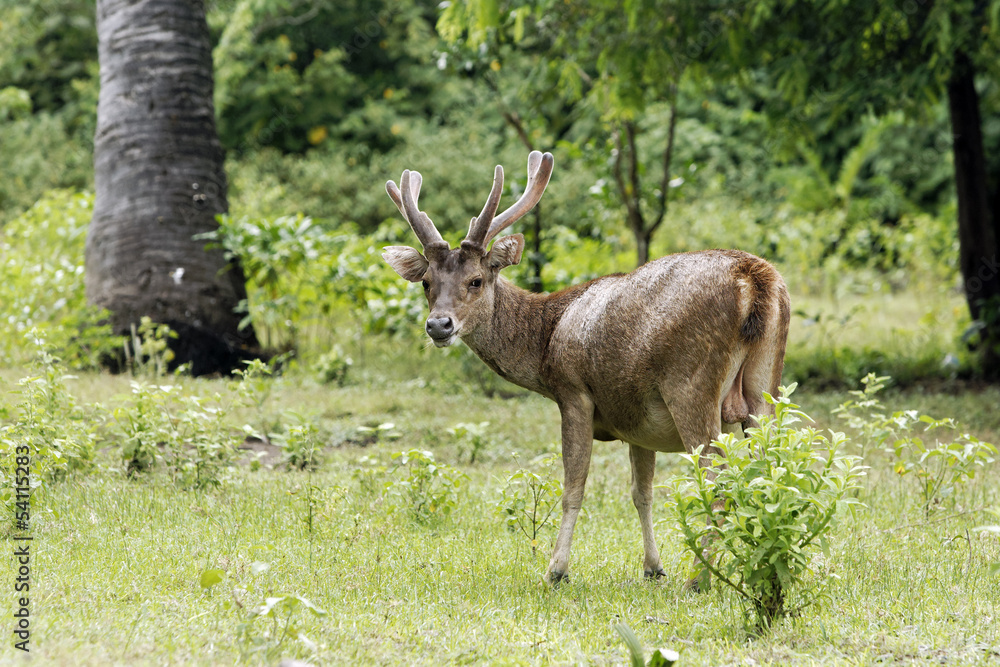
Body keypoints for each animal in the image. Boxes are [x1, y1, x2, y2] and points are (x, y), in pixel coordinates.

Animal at [381, 151, 790, 585]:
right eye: (426, 282)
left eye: (476, 280)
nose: (439, 325)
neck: (547, 341)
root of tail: (755, 279)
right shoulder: (638, 421)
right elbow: (641, 492)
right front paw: (653, 567)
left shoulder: (573, 391)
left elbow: (573, 487)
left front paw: (556, 571)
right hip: (766, 383)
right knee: (770, 469)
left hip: (690, 382)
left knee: (716, 482)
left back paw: (700, 578)